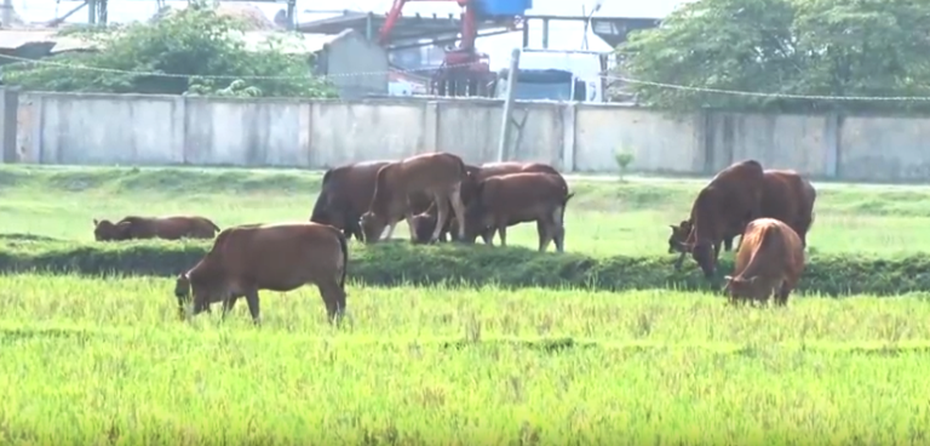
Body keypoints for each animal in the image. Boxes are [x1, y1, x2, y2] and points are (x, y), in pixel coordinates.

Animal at [173, 222, 348, 324]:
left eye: (181, 293)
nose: (181, 317)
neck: (222, 255)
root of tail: (331, 230)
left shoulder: (250, 288)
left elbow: (254, 311)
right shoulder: (232, 294)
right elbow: (224, 313)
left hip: (327, 281)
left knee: (338, 299)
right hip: (325, 283)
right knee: (331, 302)